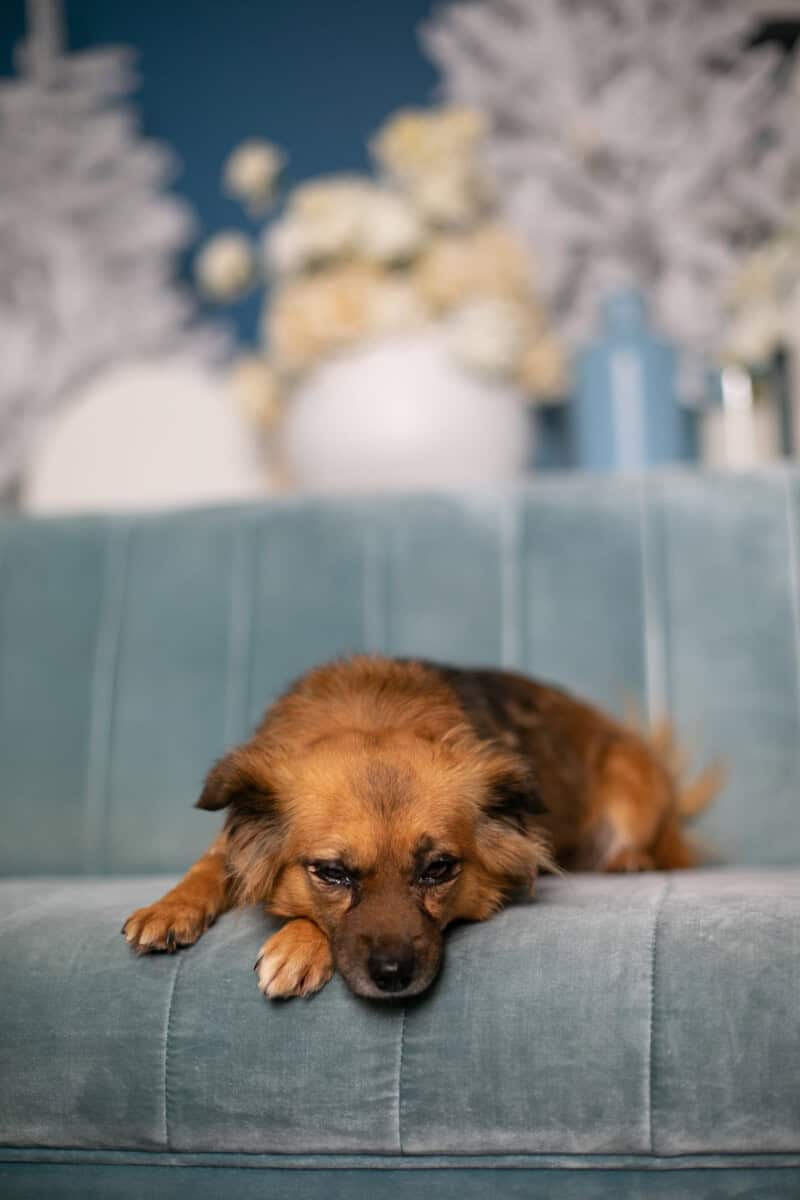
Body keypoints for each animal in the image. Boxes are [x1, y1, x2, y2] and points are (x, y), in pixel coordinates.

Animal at [123, 655, 717, 1000]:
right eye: (332, 873)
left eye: (439, 869)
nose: (392, 974)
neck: (372, 714)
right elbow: (210, 865)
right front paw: (168, 909)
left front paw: (297, 946)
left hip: (630, 778)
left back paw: (628, 861)